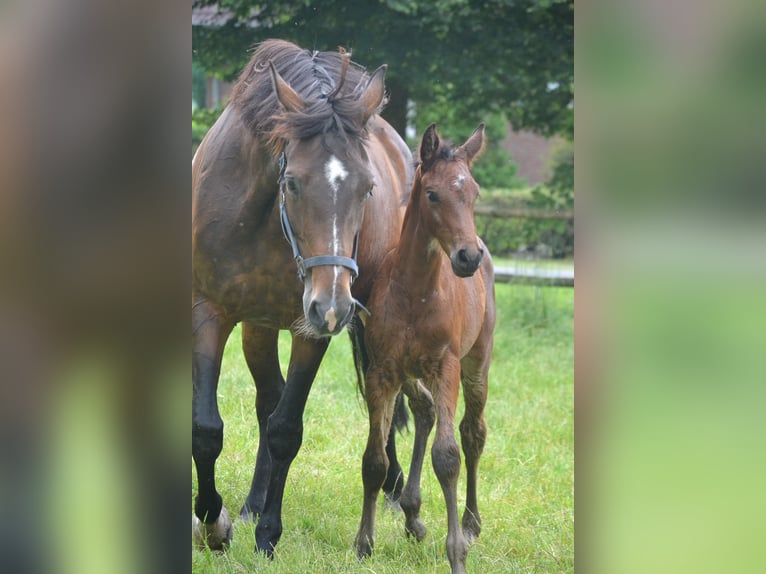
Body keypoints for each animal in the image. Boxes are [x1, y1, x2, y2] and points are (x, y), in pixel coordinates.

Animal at [195, 39, 416, 560]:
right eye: (292, 181)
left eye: (368, 187)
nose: (332, 306)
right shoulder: (209, 312)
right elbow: (207, 429)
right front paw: (214, 522)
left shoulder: (309, 330)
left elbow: (286, 429)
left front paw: (267, 535)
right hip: (258, 325)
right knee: (266, 399)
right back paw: (251, 502)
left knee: (380, 394)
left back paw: (395, 487)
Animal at [356, 122, 498, 574]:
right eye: (433, 194)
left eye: (475, 192)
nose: (468, 256)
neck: (415, 292)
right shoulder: (382, 369)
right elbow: (375, 460)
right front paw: (364, 544)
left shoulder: (445, 367)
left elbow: (448, 457)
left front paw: (456, 554)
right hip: (409, 372)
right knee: (424, 411)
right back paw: (412, 513)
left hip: (476, 363)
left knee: (472, 433)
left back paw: (470, 524)